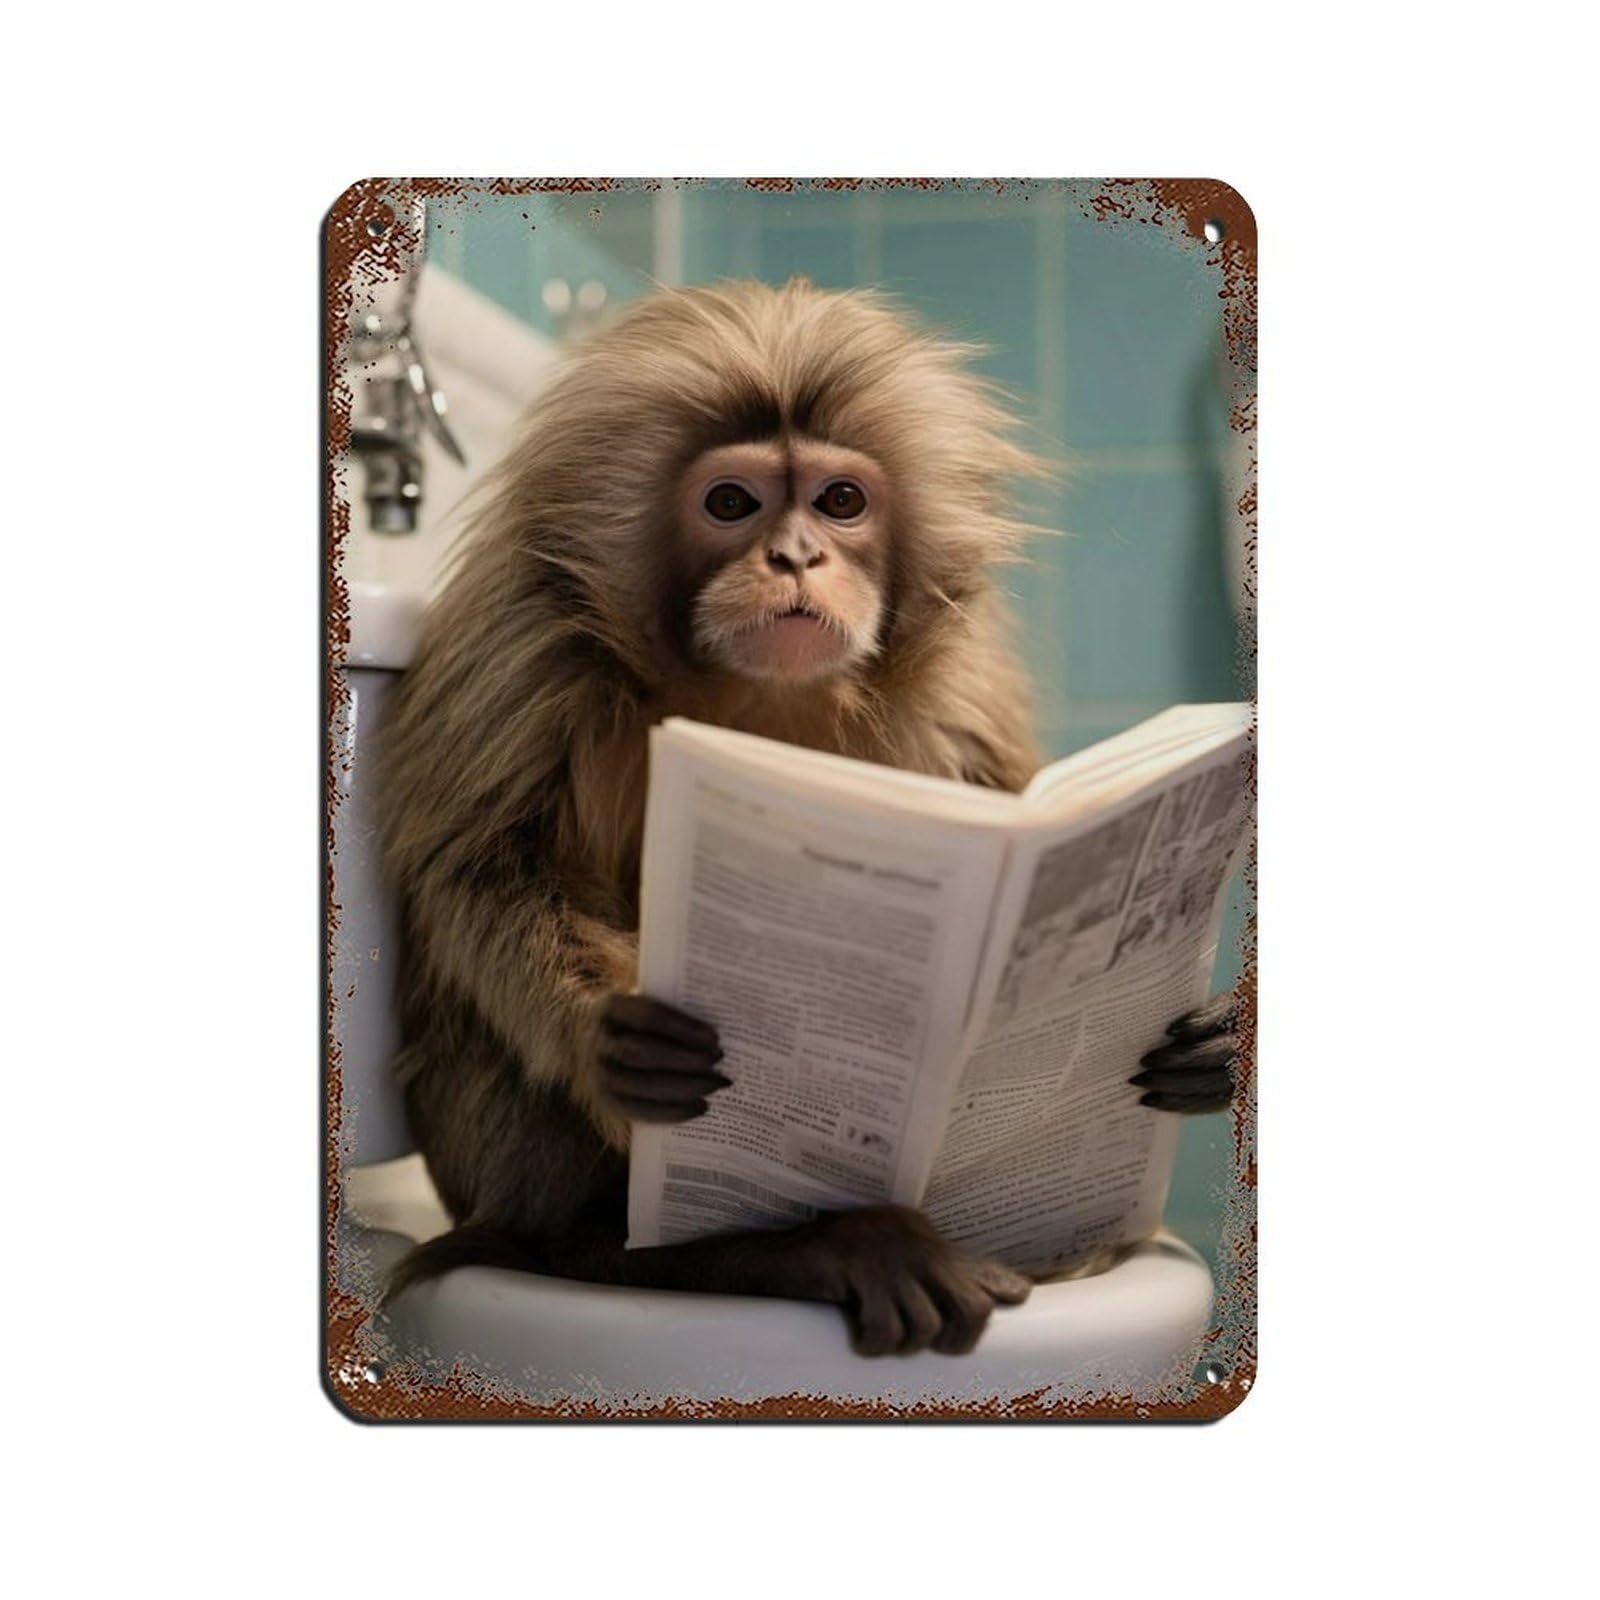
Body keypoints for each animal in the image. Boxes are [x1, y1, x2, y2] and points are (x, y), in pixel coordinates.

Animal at [375, 278, 1240, 1357]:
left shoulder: (962, 677)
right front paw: (611, 1041)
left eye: (839, 500)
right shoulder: (522, 632)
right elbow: (477, 869)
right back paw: (759, 1250)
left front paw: (1206, 1051)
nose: (795, 555)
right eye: (731, 503)